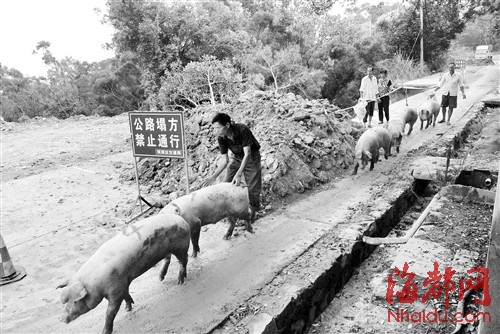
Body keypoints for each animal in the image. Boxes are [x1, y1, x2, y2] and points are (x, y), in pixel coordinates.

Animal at [56, 214, 189, 334]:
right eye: (65, 302)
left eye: (75, 301)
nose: (61, 319)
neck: (94, 284)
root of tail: (182, 220)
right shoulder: (122, 284)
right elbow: (126, 295)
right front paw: (127, 309)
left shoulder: (115, 290)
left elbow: (110, 312)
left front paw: (105, 331)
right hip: (170, 249)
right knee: (170, 259)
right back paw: (162, 278)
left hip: (181, 247)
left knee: (183, 261)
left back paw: (180, 281)